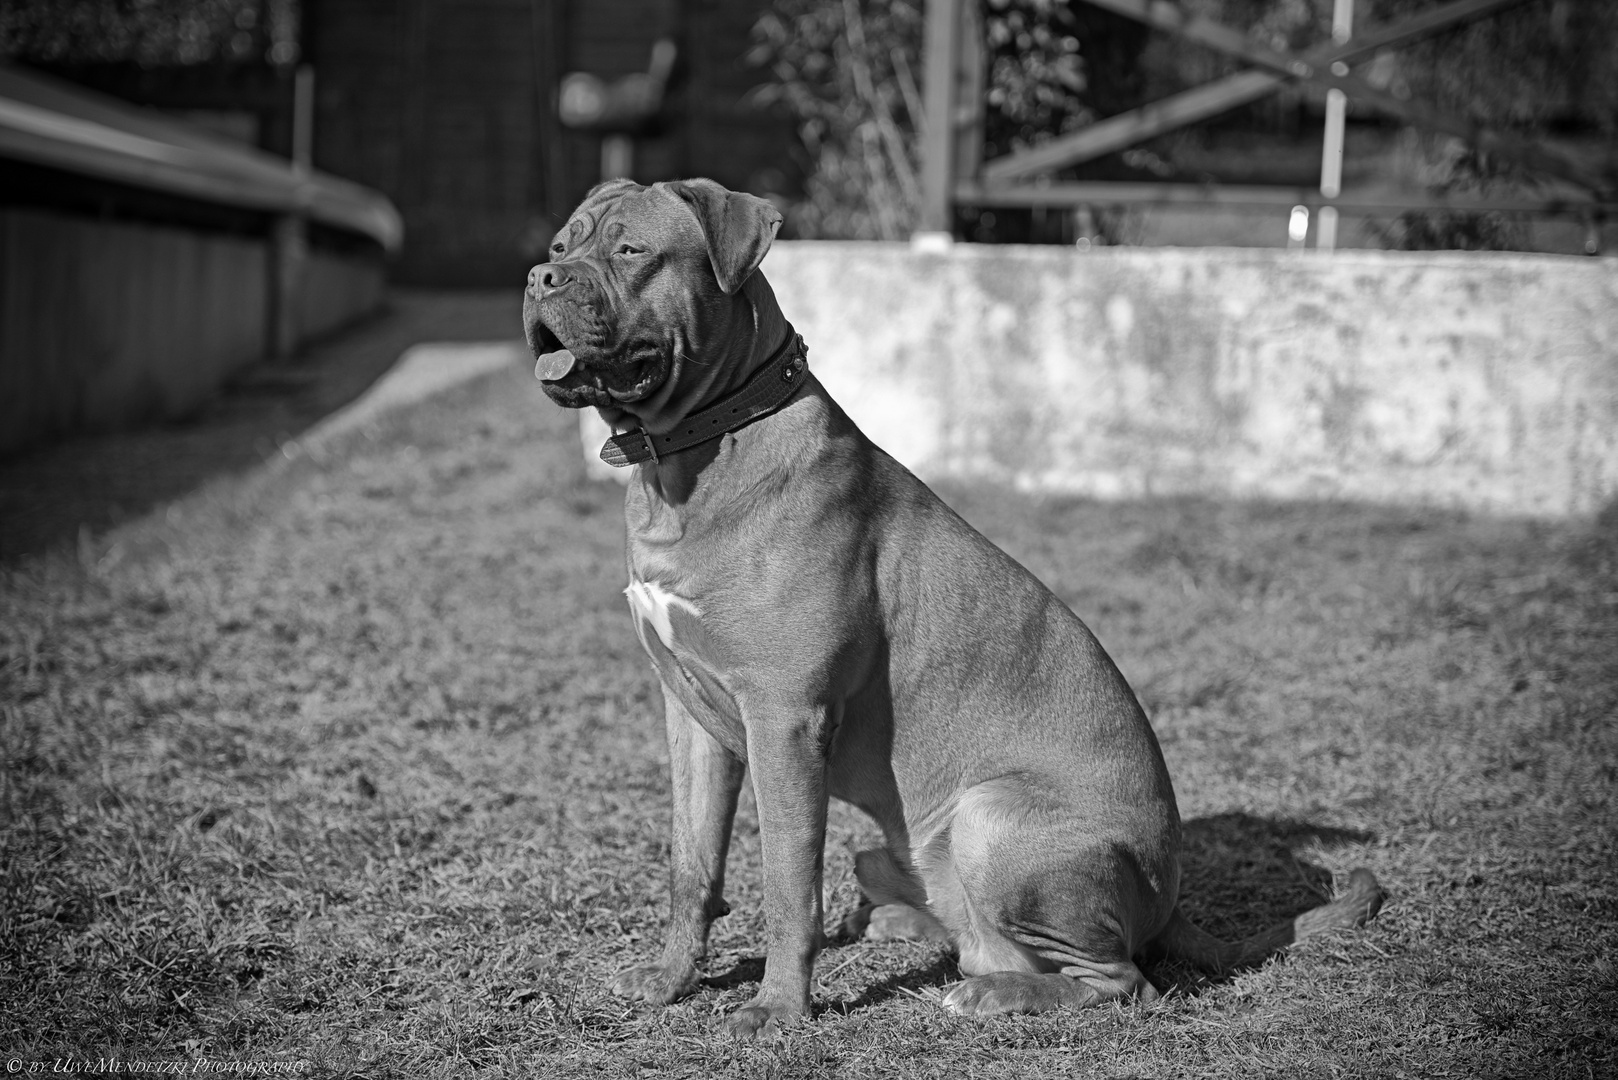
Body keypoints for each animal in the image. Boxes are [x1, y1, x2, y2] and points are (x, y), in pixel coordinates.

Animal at [524, 177, 1385, 1036]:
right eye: (564, 244)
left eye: (631, 250)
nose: (539, 276)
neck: (696, 451)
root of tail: (1169, 901)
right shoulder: (691, 717)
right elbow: (692, 864)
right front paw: (672, 977)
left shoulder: (784, 718)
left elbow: (787, 884)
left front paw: (776, 1007)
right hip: (897, 849)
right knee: (957, 926)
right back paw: (907, 928)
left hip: (990, 817)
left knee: (1123, 981)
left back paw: (994, 992)